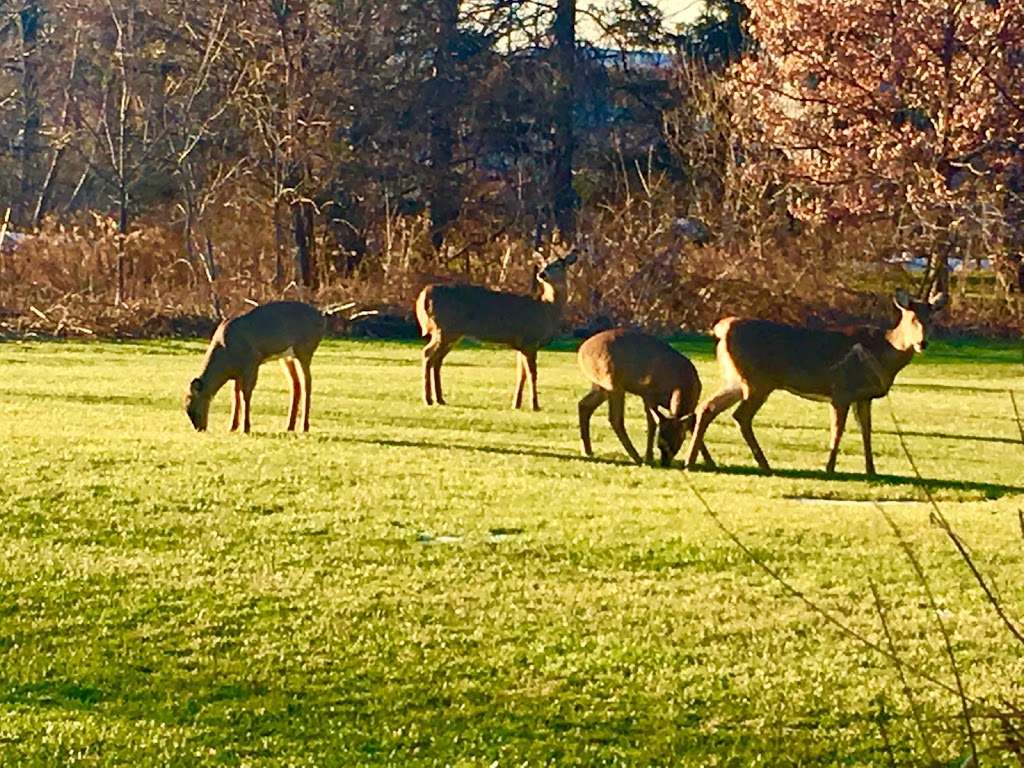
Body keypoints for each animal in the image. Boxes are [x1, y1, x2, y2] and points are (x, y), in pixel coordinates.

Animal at [184, 301, 323, 434]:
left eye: (192, 408)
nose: (200, 428)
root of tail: (321, 317)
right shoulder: (238, 371)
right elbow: (235, 394)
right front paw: (232, 427)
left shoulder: (252, 361)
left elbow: (245, 394)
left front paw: (245, 428)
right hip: (286, 357)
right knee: (295, 384)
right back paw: (289, 426)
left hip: (304, 350)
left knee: (307, 384)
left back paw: (304, 427)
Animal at [413, 250, 577, 409]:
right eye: (543, 263)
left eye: (558, 265)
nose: (542, 274)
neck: (547, 309)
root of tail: (424, 294)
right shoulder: (530, 340)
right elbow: (532, 373)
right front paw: (535, 405)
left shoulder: (523, 344)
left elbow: (521, 374)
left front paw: (516, 404)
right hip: (445, 329)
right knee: (427, 353)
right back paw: (428, 399)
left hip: (451, 333)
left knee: (437, 360)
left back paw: (440, 399)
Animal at [581, 325, 716, 466]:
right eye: (660, 443)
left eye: (676, 442)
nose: (664, 463)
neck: (680, 384)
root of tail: (581, 351)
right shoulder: (647, 394)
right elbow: (652, 424)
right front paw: (649, 456)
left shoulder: (693, 401)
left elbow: (692, 425)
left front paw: (709, 461)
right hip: (611, 382)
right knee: (615, 419)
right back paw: (637, 458)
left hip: (600, 385)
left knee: (584, 405)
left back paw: (587, 451)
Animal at [684, 288, 946, 475]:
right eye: (912, 318)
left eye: (931, 319)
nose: (922, 343)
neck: (883, 351)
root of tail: (721, 329)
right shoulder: (841, 390)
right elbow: (837, 431)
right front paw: (829, 467)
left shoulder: (863, 397)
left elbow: (866, 431)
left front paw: (871, 471)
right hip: (758, 381)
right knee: (740, 416)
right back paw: (763, 464)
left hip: (735, 379)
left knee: (707, 407)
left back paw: (696, 461)